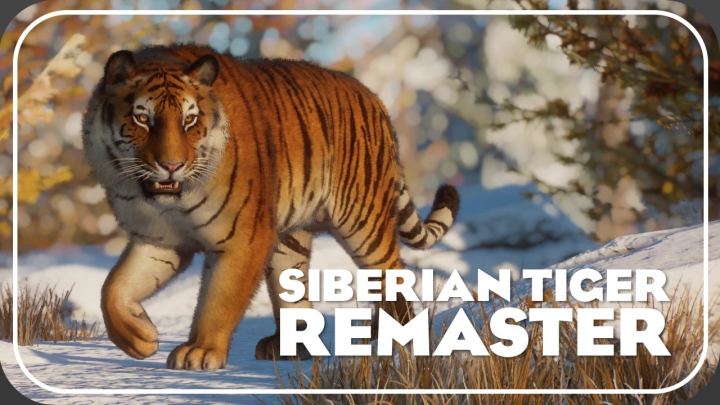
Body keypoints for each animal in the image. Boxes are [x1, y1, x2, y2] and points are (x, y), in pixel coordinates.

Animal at [82, 44, 460, 370]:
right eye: (142, 119)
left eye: (189, 120)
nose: (172, 165)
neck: (162, 200)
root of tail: (375, 99)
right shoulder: (159, 240)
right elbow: (112, 289)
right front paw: (140, 338)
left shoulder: (244, 238)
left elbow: (219, 300)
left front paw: (200, 351)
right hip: (289, 241)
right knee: (294, 291)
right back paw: (289, 348)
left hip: (364, 224)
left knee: (393, 276)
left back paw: (395, 348)